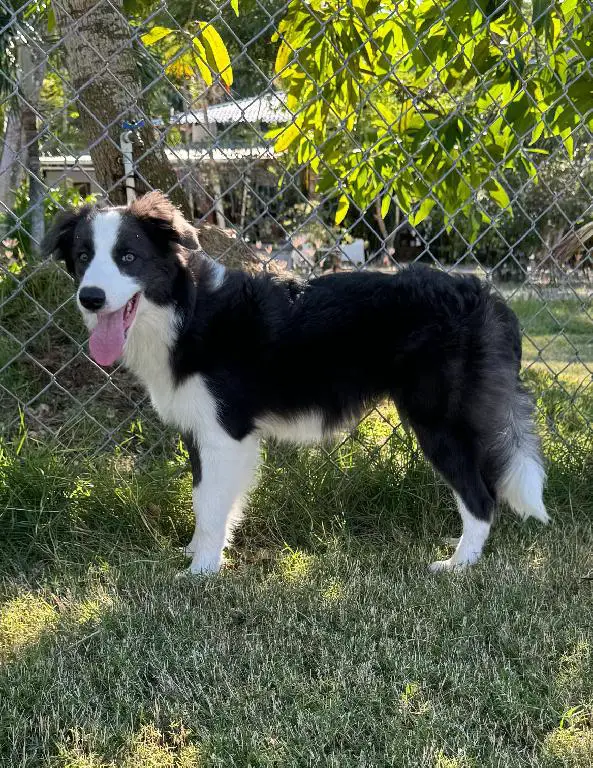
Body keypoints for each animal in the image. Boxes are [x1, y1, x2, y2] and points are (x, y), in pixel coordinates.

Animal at [44, 192, 548, 576]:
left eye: (128, 257)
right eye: (84, 258)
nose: (90, 298)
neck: (185, 312)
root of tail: (484, 296)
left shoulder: (226, 432)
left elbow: (209, 504)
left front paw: (201, 570)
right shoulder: (204, 433)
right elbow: (207, 499)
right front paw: (202, 551)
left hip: (437, 421)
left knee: (481, 497)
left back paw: (458, 564)